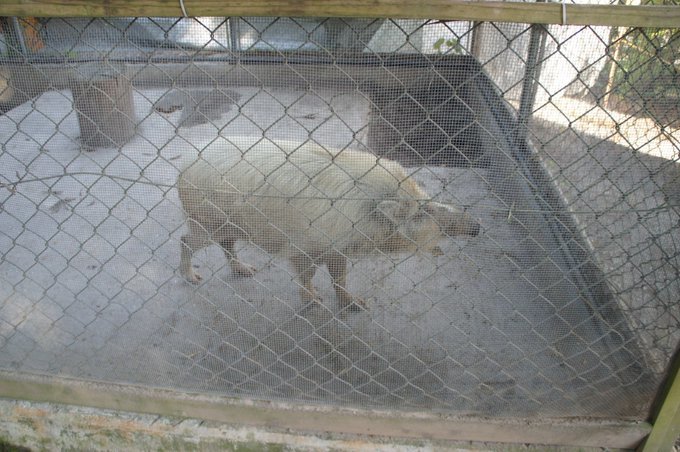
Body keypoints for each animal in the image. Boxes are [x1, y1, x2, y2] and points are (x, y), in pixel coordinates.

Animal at [178, 138, 480, 308]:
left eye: (430, 201)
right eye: (420, 213)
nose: (476, 226)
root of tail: (185, 164)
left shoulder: (337, 248)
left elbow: (340, 277)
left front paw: (358, 305)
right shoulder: (304, 246)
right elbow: (308, 275)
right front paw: (315, 302)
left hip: (227, 224)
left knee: (227, 243)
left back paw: (247, 271)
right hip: (206, 220)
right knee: (185, 240)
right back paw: (193, 278)